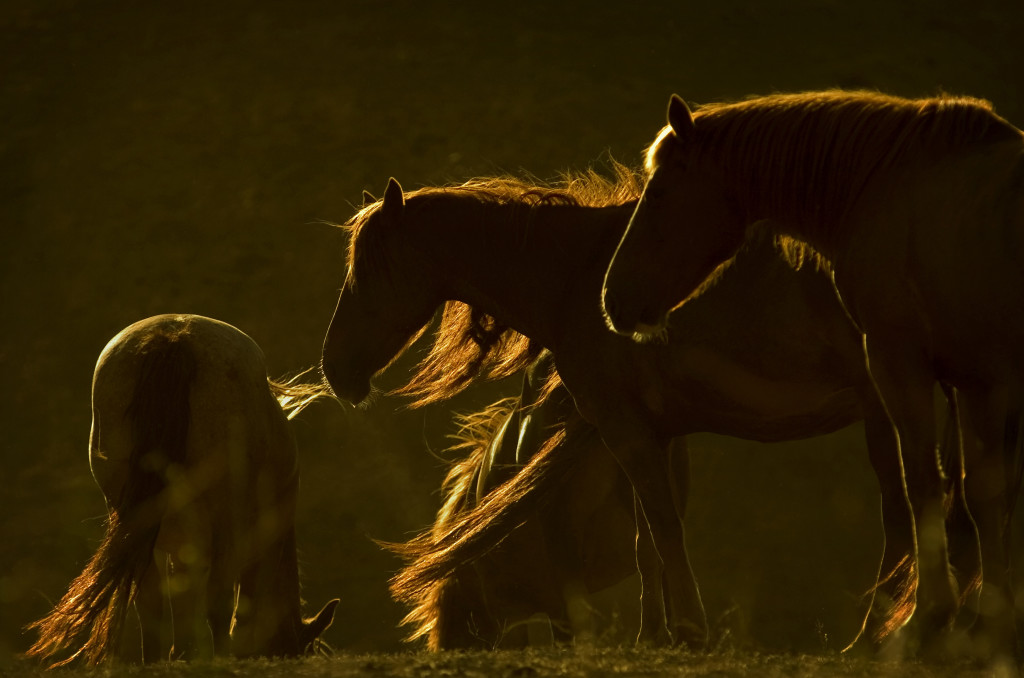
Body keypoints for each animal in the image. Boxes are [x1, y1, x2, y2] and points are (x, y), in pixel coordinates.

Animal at [598, 89, 1024, 659]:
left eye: (660, 192)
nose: (613, 299)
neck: (890, 188)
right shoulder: (980, 380)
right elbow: (985, 496)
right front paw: (988, 631)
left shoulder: (901, 361)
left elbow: (922, 483)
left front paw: (927, 622)